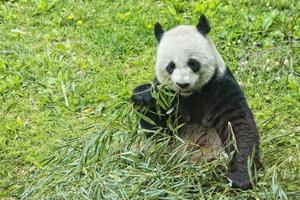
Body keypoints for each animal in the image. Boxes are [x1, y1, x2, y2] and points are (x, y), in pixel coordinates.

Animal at [132, 14, 262, 190]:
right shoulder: (169, 96)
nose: (182, 84)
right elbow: (159, 134)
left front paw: (240, 177)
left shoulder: (220, 86)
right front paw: (143, 96)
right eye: (171, 66)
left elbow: (237, 124)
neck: (191, 95)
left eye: (192, 63)